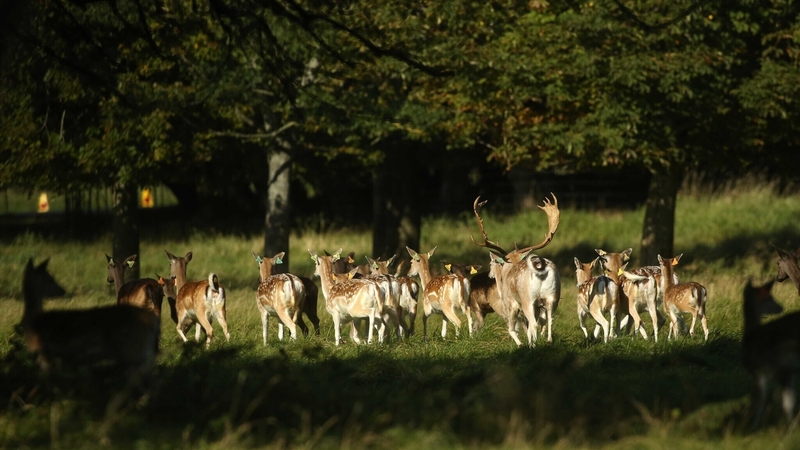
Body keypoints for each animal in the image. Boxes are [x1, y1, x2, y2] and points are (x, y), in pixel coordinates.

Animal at [470, 194, 561, 347]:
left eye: (492, 263)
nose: (489, 275)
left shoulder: (510, 303)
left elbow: (513, 329)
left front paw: (521, 345)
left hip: (527, 299)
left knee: (533, 324)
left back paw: (532, 346)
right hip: (553, 297)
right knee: (550, 321)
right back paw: (548, 341)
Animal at [741, 279, 800, 428]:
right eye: (770, 298)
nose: (781, 307)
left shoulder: (761, 370)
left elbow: (759, 401)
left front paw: (753, 427)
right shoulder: (785, 374)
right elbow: (788, 403)